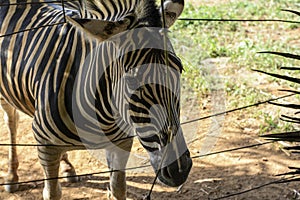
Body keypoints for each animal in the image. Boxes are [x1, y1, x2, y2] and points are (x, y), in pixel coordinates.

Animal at [0, 0, 192, 199]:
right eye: (132, 81)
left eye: (179, 69)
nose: (179, 170)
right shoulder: (46, 148)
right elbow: (52, 193)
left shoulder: (122, 143)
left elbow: (118, 188)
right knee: (11, 121)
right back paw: (12, 177)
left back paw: (67, 167)